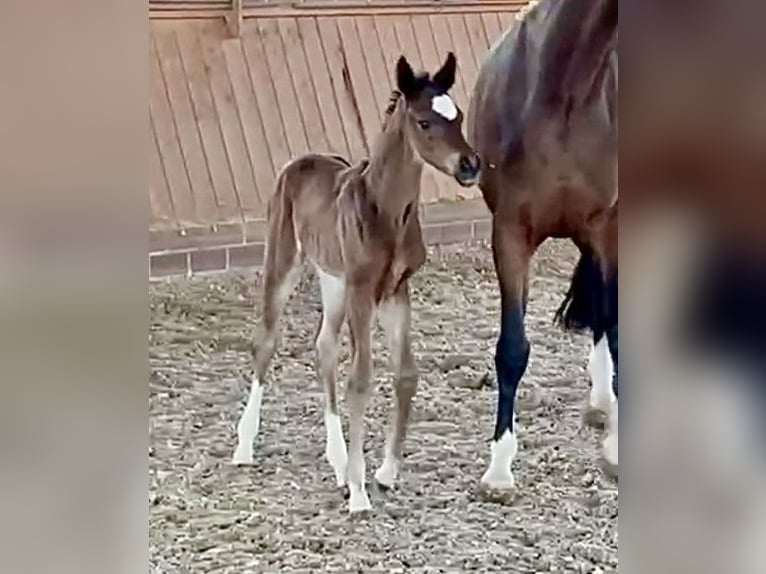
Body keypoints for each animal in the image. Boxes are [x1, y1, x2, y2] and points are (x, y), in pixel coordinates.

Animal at [231, 53, 481, 514]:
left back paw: (338, 459)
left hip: (334, 281)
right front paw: (360, 492)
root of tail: (300, 160)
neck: (386, 212)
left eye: (458, 116)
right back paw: (245, 448)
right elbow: (361, 378)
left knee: (323, 345)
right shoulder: (364, 291)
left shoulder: (396, 291)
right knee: (266, 340)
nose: (470, 165)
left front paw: (384, 473)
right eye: (424, 122)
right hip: (286, 261)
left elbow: (406, 374)